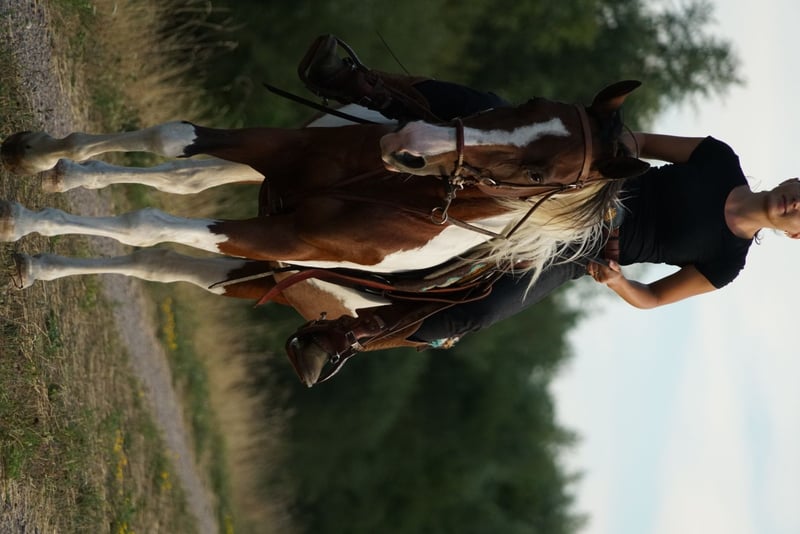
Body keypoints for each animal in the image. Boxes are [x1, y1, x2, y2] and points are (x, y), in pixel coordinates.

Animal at [1, 81, 649, 385]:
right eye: (532, 101)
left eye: (541, 174)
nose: (408, 143)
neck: (399, 192)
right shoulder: (277, 149)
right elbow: (171, 137)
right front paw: (40, 156)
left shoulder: (282, 242)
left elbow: (146, 224)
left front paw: (26, 220)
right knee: (182, 182)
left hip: (264, 269)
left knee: (163, 253)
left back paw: (43, 262)